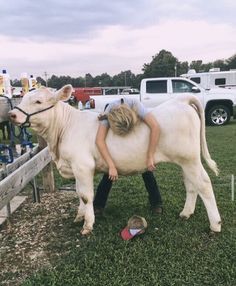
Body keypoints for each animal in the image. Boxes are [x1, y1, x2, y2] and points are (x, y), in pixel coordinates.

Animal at [8, 85, 221, 235]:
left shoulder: (83, 166)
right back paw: (186, 213)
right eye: (23, 97)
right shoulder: (76, 168)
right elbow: (78, 193)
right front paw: (79, 216)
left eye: (38, 101)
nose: (12, 114)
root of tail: (181, 100)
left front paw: (87, 225)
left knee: (203, 183)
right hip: (185, 161)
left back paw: (215, 225)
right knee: (191, 184)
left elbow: (86, 195)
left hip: (190, 159)